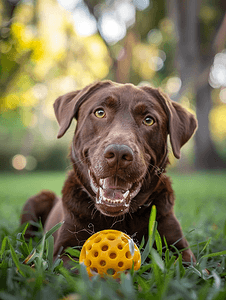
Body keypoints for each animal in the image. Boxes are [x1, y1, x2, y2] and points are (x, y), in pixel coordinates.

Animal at [21, 80, 198, 264]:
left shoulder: (180, 249)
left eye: (149, 120)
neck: (117, 220)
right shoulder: (63, 251)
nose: (119, 153)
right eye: (100, 113)